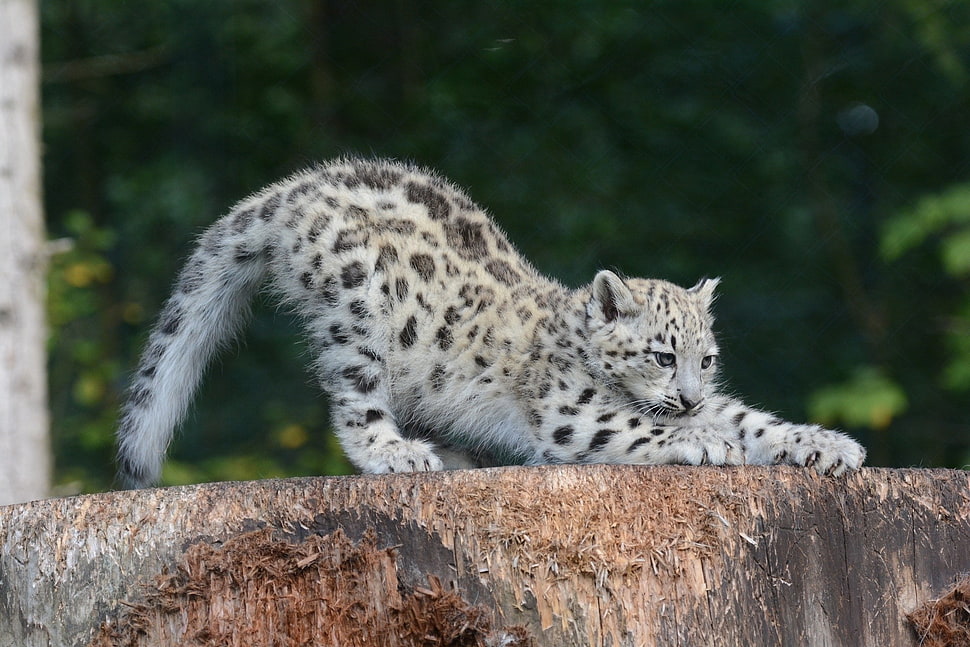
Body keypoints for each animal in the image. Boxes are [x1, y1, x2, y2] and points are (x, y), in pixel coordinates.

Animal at [116, 157, 866, 487]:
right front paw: (704, 439)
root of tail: (295, 184)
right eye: (660, 354)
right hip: (355, 312)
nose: (687, 395)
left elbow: (751, 418)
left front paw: (825, 444)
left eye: (705, 359)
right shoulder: (571, 413)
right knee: (355, 404)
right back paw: (398, 453)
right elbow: (636, 426)